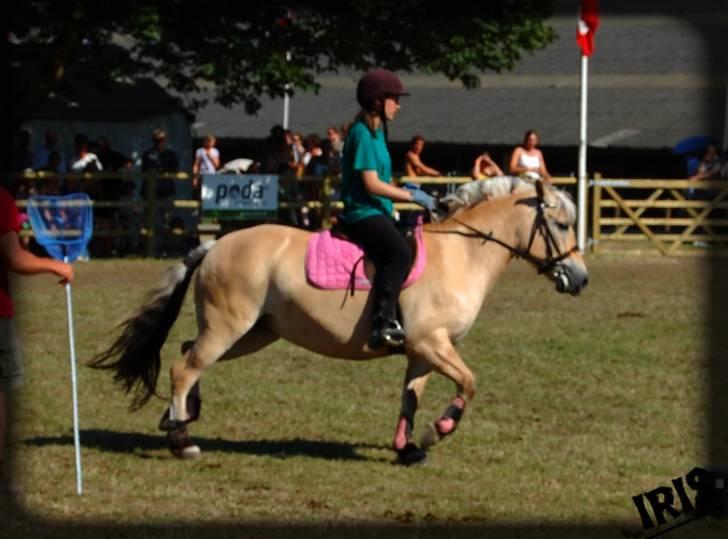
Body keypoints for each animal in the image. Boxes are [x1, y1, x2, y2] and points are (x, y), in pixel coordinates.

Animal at [90, 177, 588, 465]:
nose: (581, 278)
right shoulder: (432, 344)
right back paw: (182, 441)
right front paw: (435, 434)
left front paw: (406, 448)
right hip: (229, 327)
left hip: (252, 334)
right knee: (183, 367)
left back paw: (178, 418)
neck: (461, 254)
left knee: (186, 357)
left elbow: (410, 398)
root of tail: (215, 244)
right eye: (562, 224)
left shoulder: (423, 352)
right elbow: (469, 384)